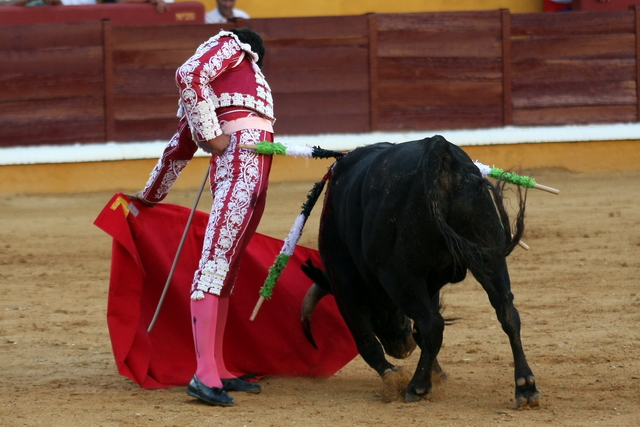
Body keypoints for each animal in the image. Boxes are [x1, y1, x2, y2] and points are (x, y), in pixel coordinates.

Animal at [302, 135, 540, 410]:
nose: (400, 348)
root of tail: (438, 147)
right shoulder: (429, 284)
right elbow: (421, 331)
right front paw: (436, 373)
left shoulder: (345, 284)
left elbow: (367, 341)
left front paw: (395, 377)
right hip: (490, 254)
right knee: (507, 313)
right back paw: (526, 387)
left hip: (399, 275)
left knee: (432, 324)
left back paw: (416, 387)